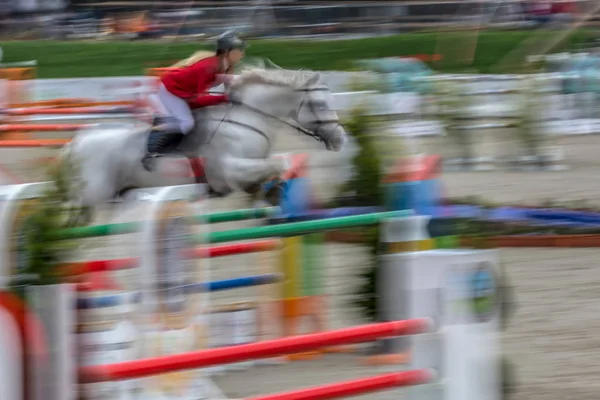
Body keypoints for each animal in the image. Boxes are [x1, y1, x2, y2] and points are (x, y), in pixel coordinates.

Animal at [61, 68, 346, 219]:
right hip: (95, 197)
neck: (248, 117)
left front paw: (268, 200)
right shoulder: (232, 168)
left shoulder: (250, 167)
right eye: (320, 104)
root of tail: (77, 142)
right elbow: (280, 163)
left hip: (117, 195)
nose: (340, 139)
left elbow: (267, 177)